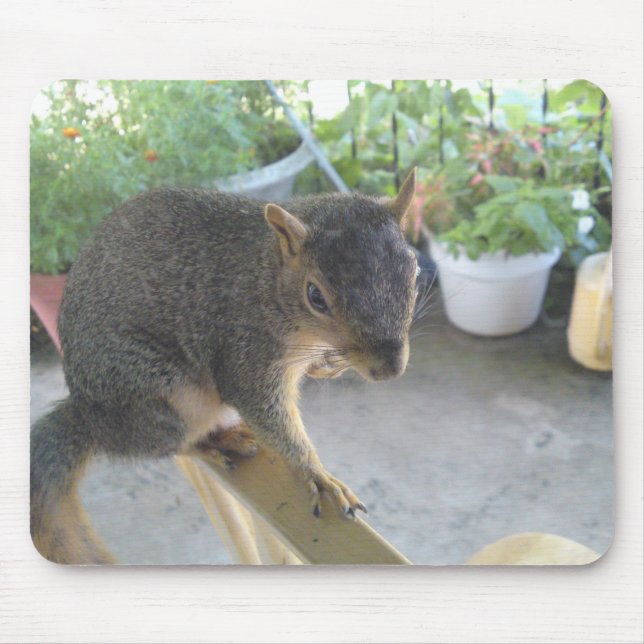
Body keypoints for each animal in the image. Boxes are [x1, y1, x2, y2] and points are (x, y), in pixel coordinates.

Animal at [30, 168, 419, 564]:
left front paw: (329, 365)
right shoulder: (246, 355)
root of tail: (90, 419)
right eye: (315, 296)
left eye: (415, 269)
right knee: (173, 444)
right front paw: (318, 475)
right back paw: (216, 446)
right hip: (160, 394)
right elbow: (273, 421)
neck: (267, 277)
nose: (389, 368)